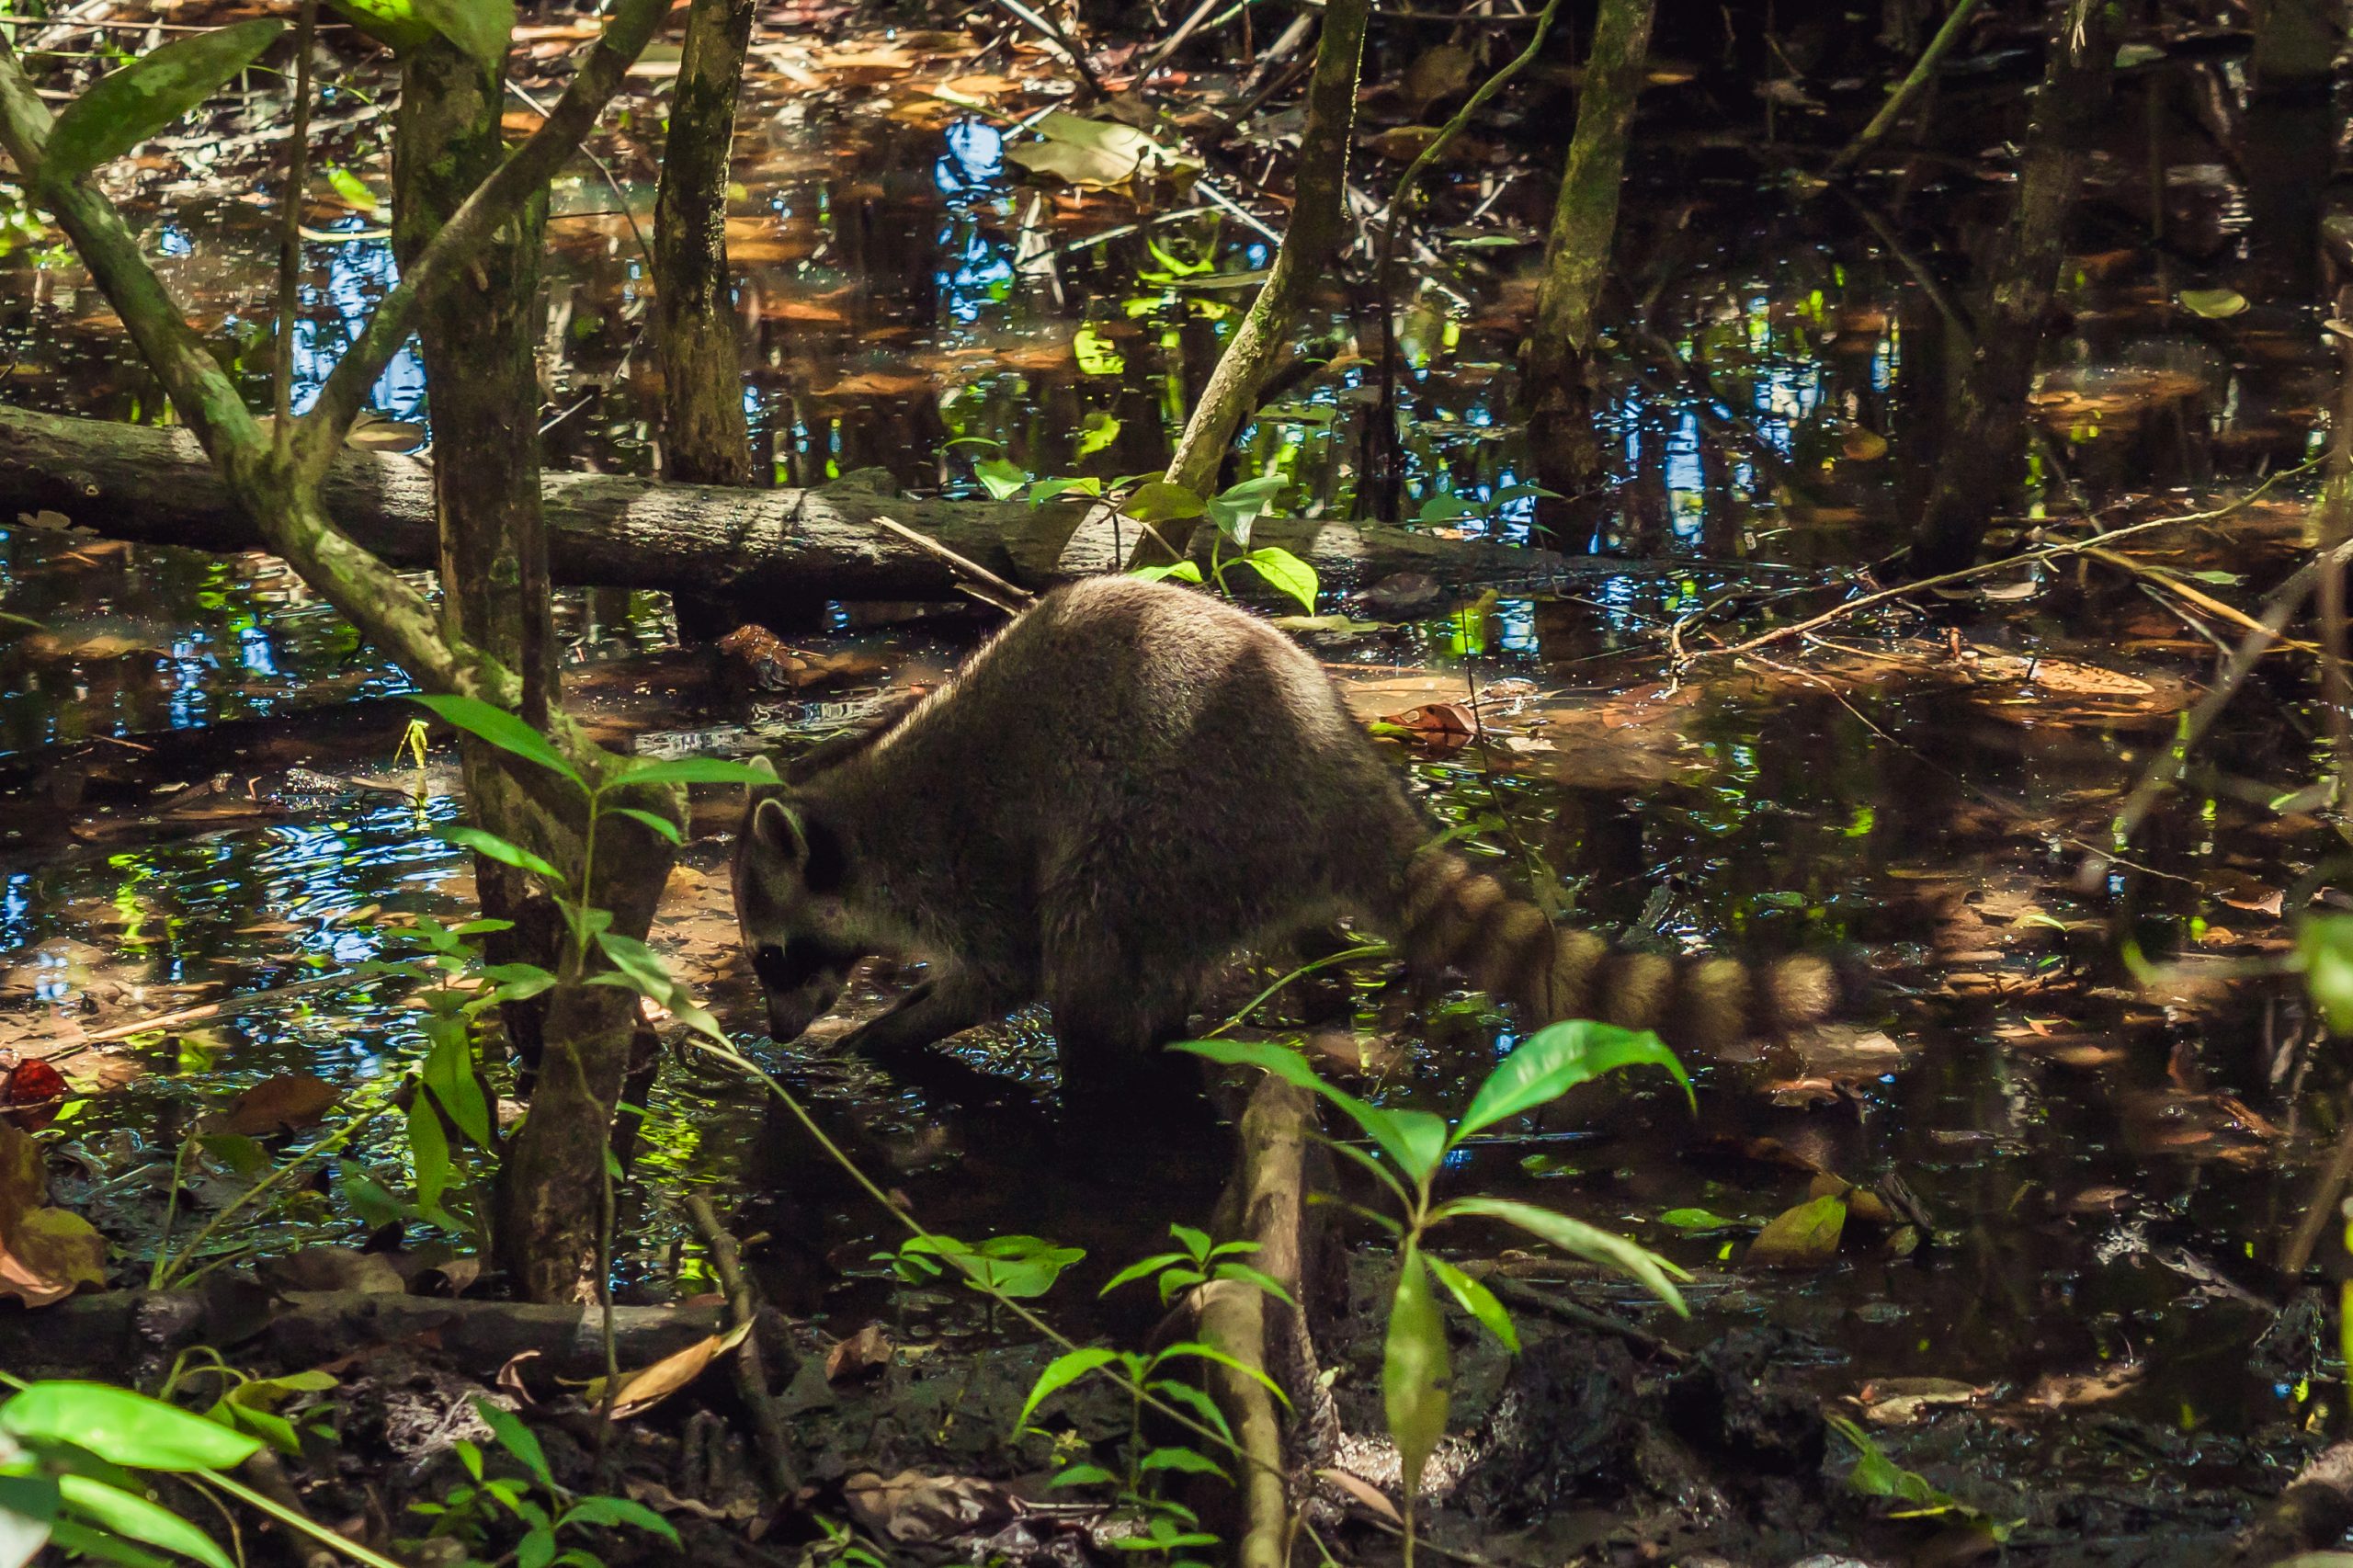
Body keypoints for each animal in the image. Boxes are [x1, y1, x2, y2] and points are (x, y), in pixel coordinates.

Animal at [732, 577, 1843, 1101]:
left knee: (1091, 967)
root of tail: (1337, 766)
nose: (776, 1034)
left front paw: (880, 1036)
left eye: (772, 956)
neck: (858, 817)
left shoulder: (966, 865)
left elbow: (1010, 968)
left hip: (1172, 827)